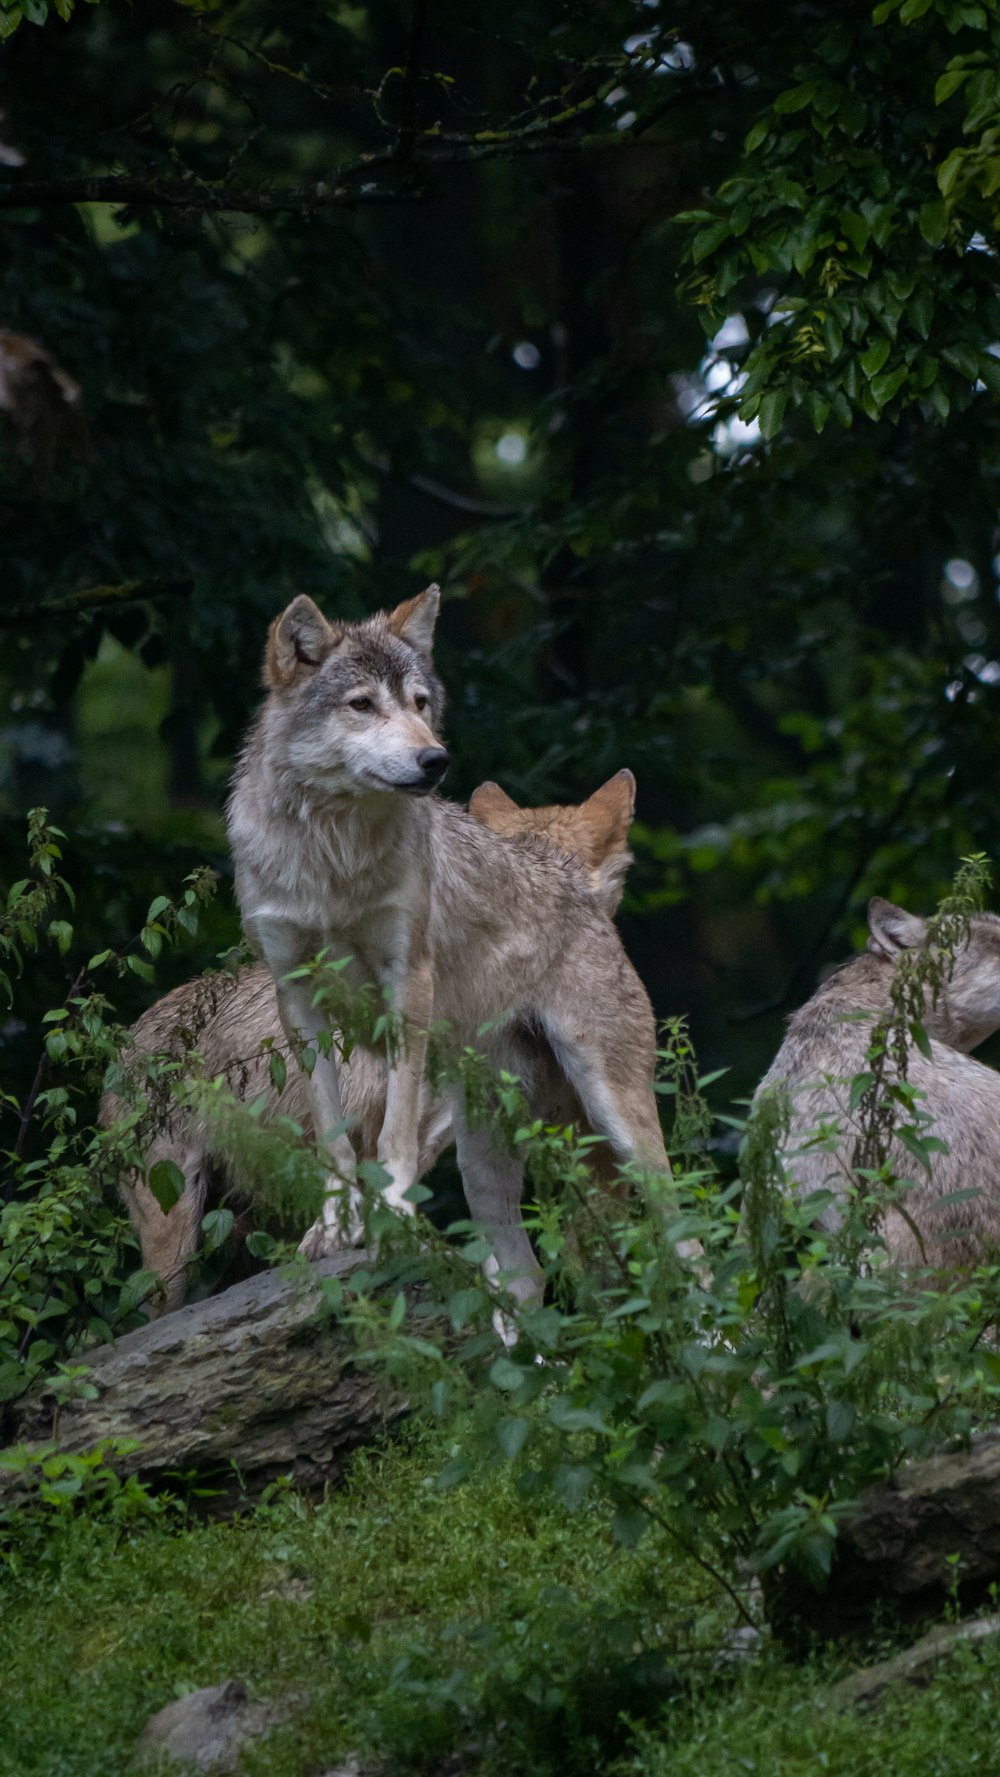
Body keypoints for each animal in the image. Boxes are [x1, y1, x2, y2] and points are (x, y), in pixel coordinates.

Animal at [224, 589, 664, 1300]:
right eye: (362, 704)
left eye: (420, 702)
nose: (436, 760)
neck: (332, 857)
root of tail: (578, 884)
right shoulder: (297, 995)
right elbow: (333, 1134)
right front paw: (332, 1227)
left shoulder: (408, 981)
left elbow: (392, 1136)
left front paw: (393, 1212)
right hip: (487, 1160)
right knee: (524, 1278)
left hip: (617, 1122)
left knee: (691, 1245)